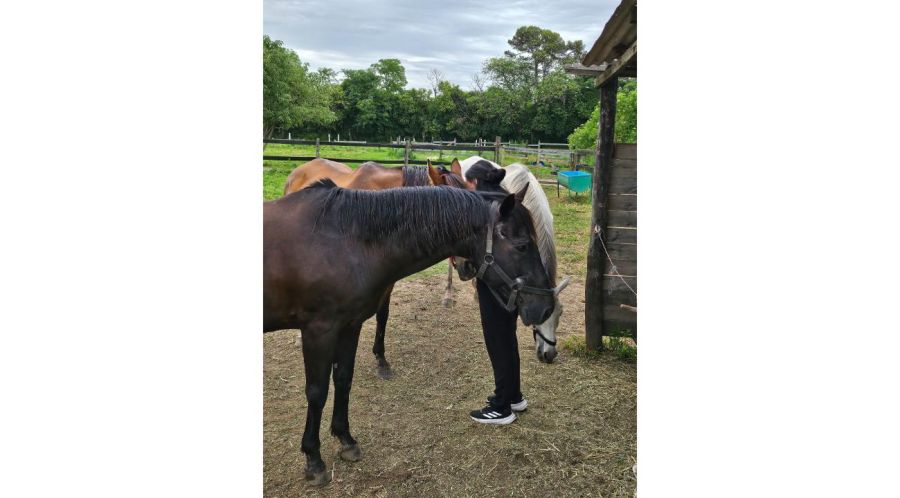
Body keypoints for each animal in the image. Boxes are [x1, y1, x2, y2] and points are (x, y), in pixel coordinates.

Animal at [263, 180, 556, 486]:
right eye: (522, 246)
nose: (546, 307)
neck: (343, 241)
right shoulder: (318, 331)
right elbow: (317, 393)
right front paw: (313, 459)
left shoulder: (349, 326)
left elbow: (343, 380)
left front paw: (346, 439)